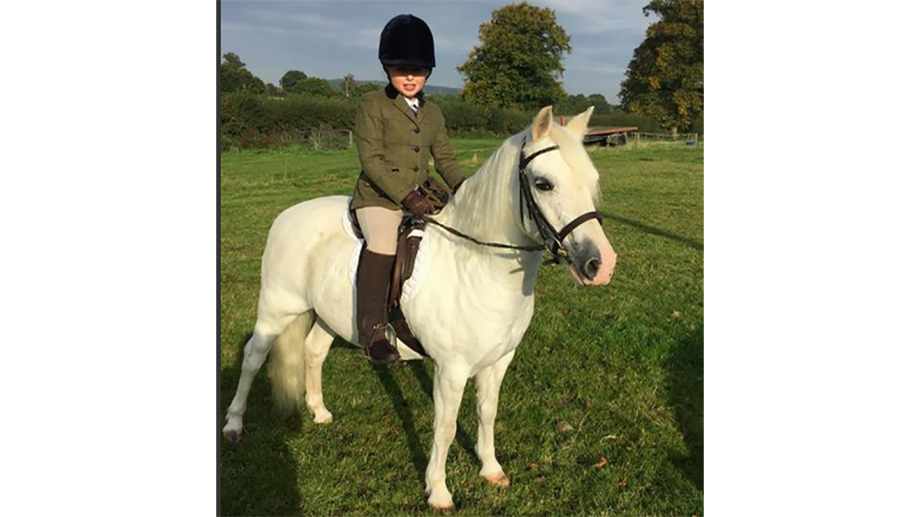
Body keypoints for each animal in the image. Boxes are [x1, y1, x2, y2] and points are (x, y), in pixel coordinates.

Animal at [222, 106, 616, 510]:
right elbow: (445, 427)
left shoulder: (498, 361)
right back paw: (234, 425)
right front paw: (438, 490)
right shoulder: (451, 370)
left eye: (592, 179)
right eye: (543, 184)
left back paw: (319, 411)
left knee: (313, 351)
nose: (600, 265)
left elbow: (487, 412)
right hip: (276, 309)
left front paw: (491, 468)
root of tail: (288, 214)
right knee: (253, 357)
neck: (475, 266)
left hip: (330, 317)